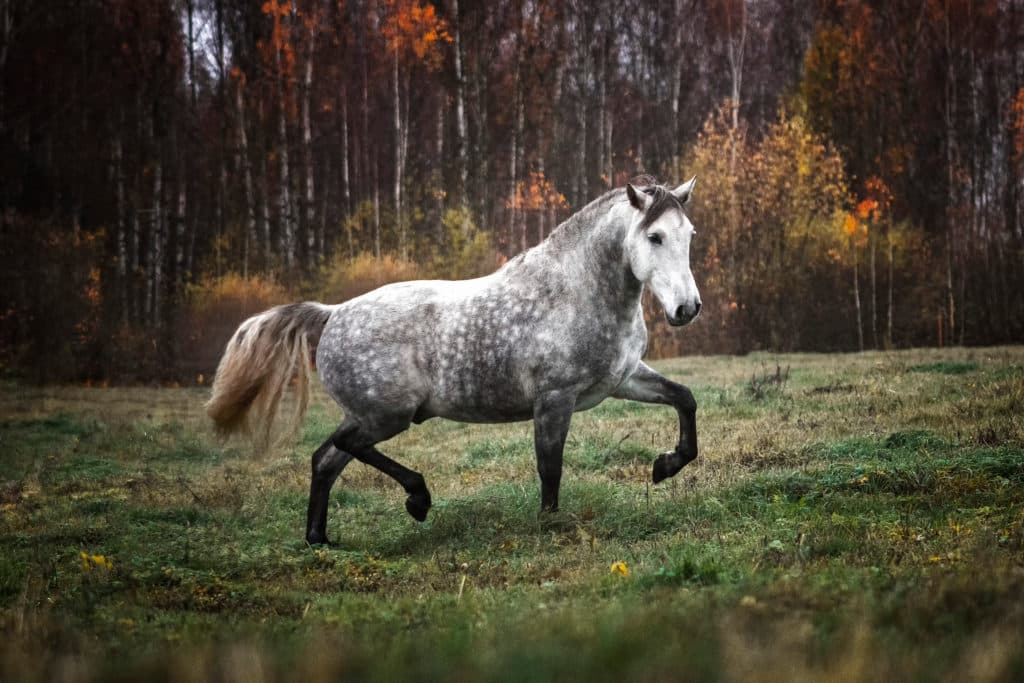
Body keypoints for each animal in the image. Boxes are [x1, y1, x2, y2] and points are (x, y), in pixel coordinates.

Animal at [206, 178, 702, 545]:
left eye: (689, 235)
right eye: (654, 237)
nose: (687, 309)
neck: (578, 292)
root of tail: (333, 314)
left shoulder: (623, 379)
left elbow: (685, 399)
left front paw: (665, 465)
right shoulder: (554, 398)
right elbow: (550, 465)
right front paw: (549, 524)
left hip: (370, 414)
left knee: (325, 460)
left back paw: (319, 540)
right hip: (387, 415)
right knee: (342, 447)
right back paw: (417, 499)